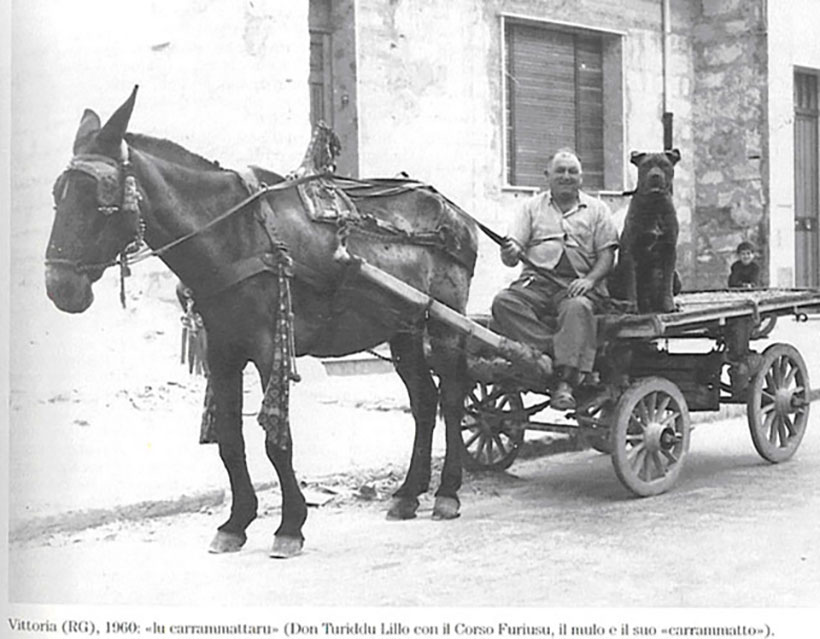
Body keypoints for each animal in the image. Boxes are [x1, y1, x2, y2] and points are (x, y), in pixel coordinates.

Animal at [612, 148, 684, 312]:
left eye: (664, 165)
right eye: (646, 165)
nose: (655, 175)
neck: (654, 205)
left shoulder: (670, 250)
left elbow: (667, 282)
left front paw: (669, 305)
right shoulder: (630, 251)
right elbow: (631, 282)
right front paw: (632, 306)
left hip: (678, 277)